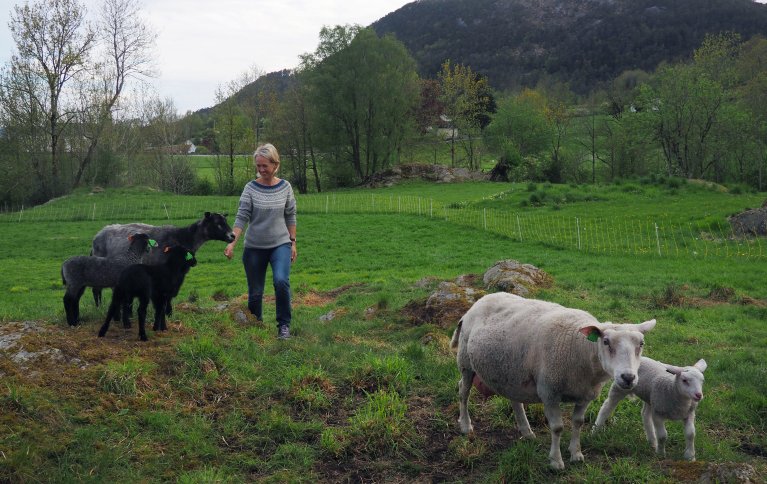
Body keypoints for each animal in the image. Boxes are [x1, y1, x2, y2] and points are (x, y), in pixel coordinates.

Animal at [452, 292, 656, 468]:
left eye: (641, 344)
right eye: (605, 342)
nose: (628, 377)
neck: (582, 349)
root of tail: (480, 300)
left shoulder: (585, 395)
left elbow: (578, 422)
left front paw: (576, 453)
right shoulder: (549, 392)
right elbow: (557, 428)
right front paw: (556, 461)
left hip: (511, 371)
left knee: (514, 400)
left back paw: (526, 431)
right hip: (465, 362)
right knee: (463, 391)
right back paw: (465, 425)